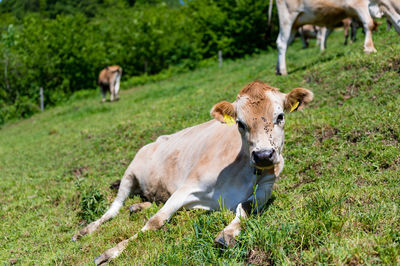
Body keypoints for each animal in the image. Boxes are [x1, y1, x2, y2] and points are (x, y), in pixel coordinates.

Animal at [72, 81, 316, 264]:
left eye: (280, 116)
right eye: (240, 123)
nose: (264, 155)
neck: (239, 171)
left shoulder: (265, 189)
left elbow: (245, 208)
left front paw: (227, 234)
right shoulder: (188, 186)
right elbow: (155, 221)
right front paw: (111, 252)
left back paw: (137, 206)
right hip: (129, 173)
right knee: (113, 209)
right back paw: (85, 230)